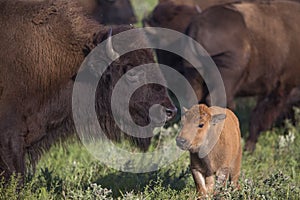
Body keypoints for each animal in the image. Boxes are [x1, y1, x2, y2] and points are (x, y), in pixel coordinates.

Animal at [186, 0, 300, 150]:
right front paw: (250, 146)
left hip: (195, 74)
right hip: (227, 74)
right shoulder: (281, 87)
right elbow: (261, 115)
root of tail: (198, 26)